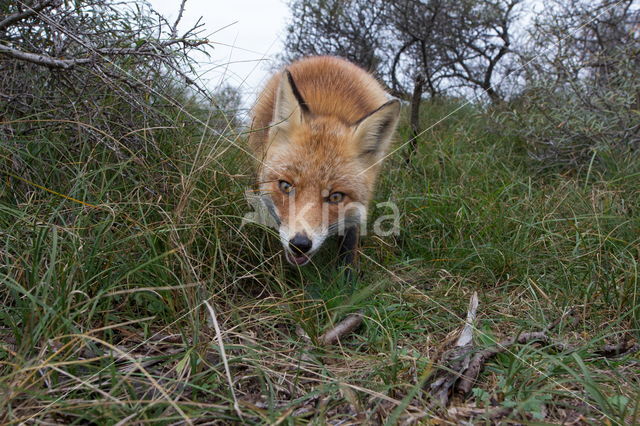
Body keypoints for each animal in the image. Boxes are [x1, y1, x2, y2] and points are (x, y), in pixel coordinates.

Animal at [248, 55, 398, 272]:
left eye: (335, 197)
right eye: (286, 186)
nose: (300, 244)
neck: (329, 107)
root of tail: (332, 58)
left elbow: (349, 244)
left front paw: (347, 275)